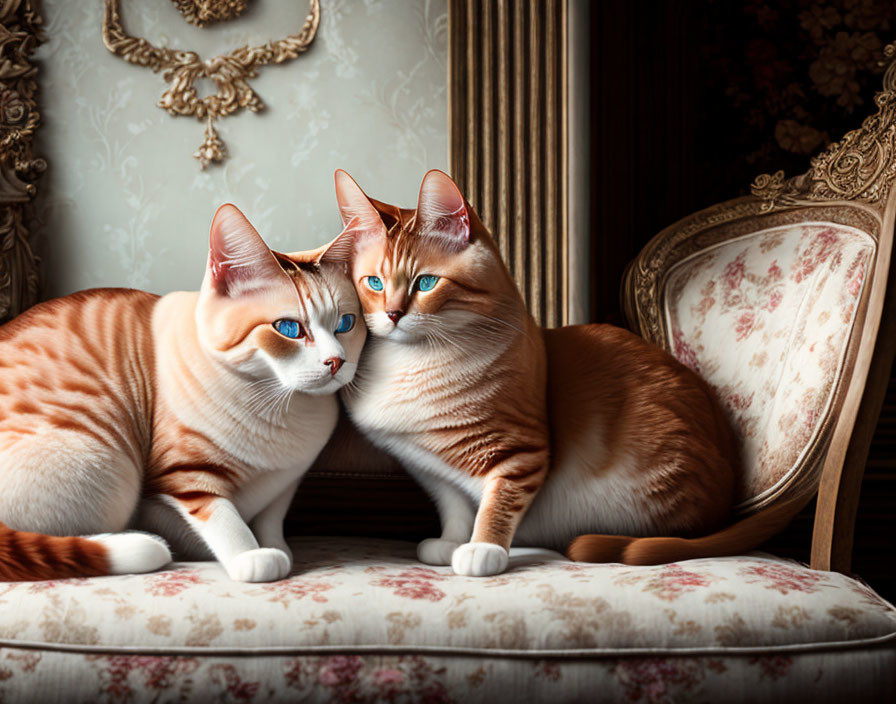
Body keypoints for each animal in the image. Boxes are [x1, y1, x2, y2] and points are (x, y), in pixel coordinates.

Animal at [0, 204, 364, 584]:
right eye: (289, 329)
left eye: (345, 324)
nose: (336, 361)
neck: (281, 405)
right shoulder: (183, 476)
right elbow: (225, 519)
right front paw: (251, 556)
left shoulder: (286, 482)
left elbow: (271, 518)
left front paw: (276, 545)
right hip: (109, 471)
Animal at [310, 170, 804, 576]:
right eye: (373, 283)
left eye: (426, 283)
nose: (393, 315)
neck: (414, 366)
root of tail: (725, 509)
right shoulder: (430, 467)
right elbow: (455, 507)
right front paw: (452, 542)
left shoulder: (520, 451)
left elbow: (498, 503)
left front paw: (484, 550)